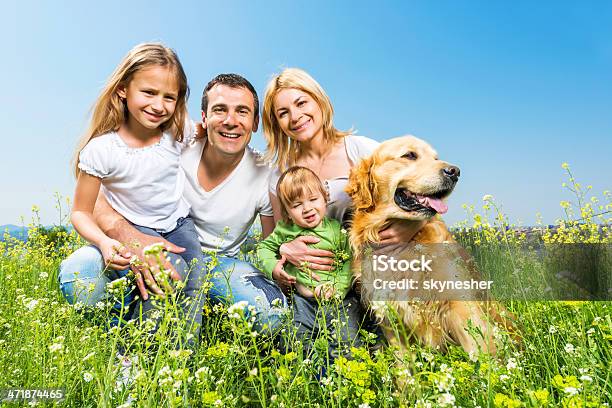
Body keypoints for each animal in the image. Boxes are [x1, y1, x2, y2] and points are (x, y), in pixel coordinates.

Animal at [346, 135, 512, 356]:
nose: (455, 172)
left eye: (436, 158)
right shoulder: (389, 315)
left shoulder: (459, 303)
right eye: (409, 155)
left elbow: (481, 352)